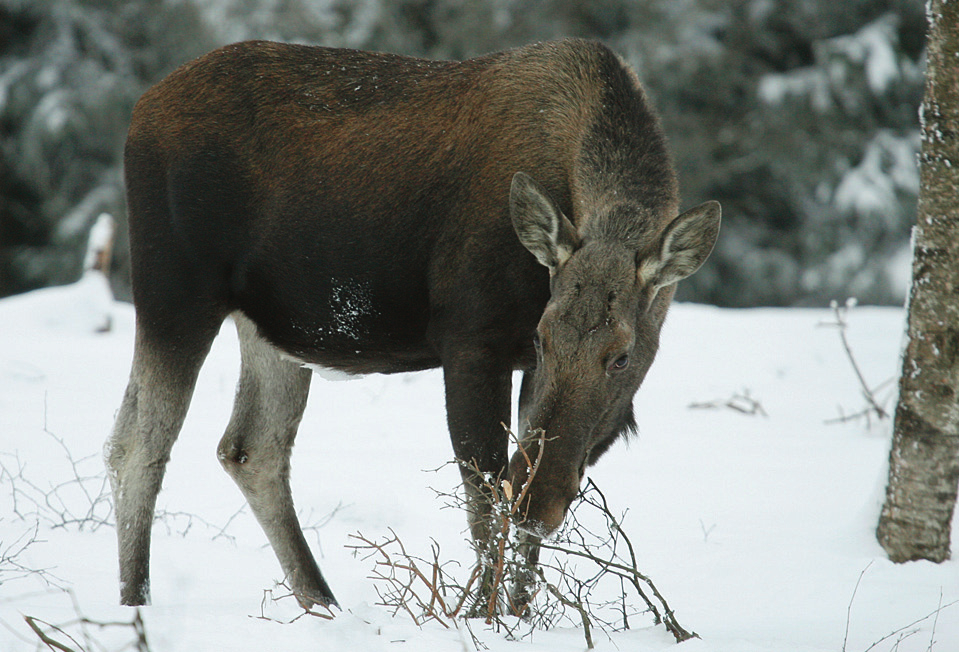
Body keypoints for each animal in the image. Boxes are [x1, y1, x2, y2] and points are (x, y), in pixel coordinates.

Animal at [105, 38, 720, 608]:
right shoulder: (471, 337)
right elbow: (484, 496)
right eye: (543, 338)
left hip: (270, 330)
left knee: (250, 448)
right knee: (137, 443)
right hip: (174, 291)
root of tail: (138, 111)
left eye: (621, 356)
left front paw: (520, 612)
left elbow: (518, 497)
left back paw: (321, 604)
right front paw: (483, 615)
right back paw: (137, 602)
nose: (538, 501)